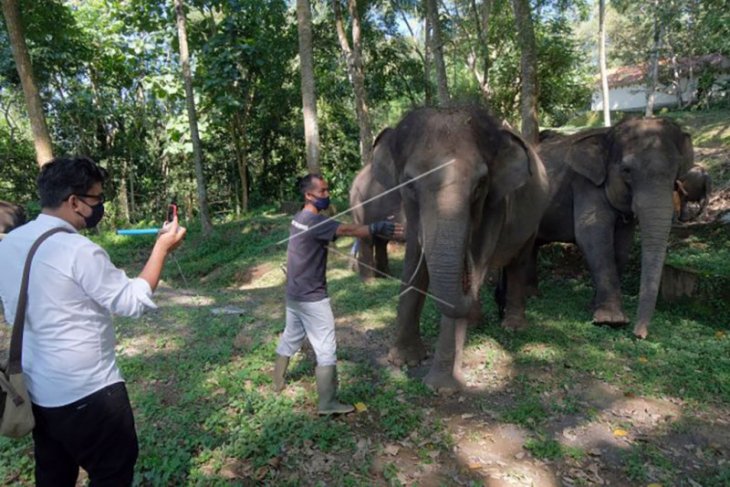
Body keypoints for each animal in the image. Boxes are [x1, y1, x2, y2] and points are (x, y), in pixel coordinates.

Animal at [370, 107, 544, 392]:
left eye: (481, 183)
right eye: (409, 183)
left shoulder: (496, 207)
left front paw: (441, 387)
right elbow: (414, 263)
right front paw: (403, 360)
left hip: (533, 221)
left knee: (519, 262)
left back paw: (512, 326)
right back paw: (474, 321)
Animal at [516, 117, 692, 340]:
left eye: (677, 170)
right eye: (626, 170)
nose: (639, 334)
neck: (608, 133)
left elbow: (622, 245)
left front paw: (593, 308)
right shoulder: (585, 184)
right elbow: (593, 237)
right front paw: (611, 321)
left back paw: (532, 295)